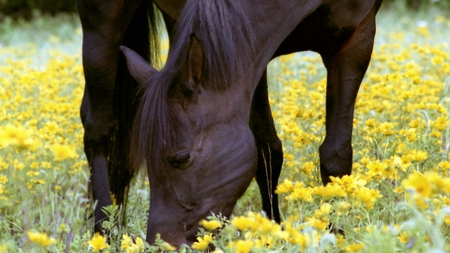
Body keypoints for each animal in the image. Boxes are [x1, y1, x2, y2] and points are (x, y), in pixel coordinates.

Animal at [77, 0, 384, 247]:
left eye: (180, 158)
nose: (162, 245)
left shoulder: (357, 39)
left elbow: (335, 156)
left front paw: (336, 235)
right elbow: (266, 150)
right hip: (100, 23)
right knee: (98, 128)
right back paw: (103, 234)